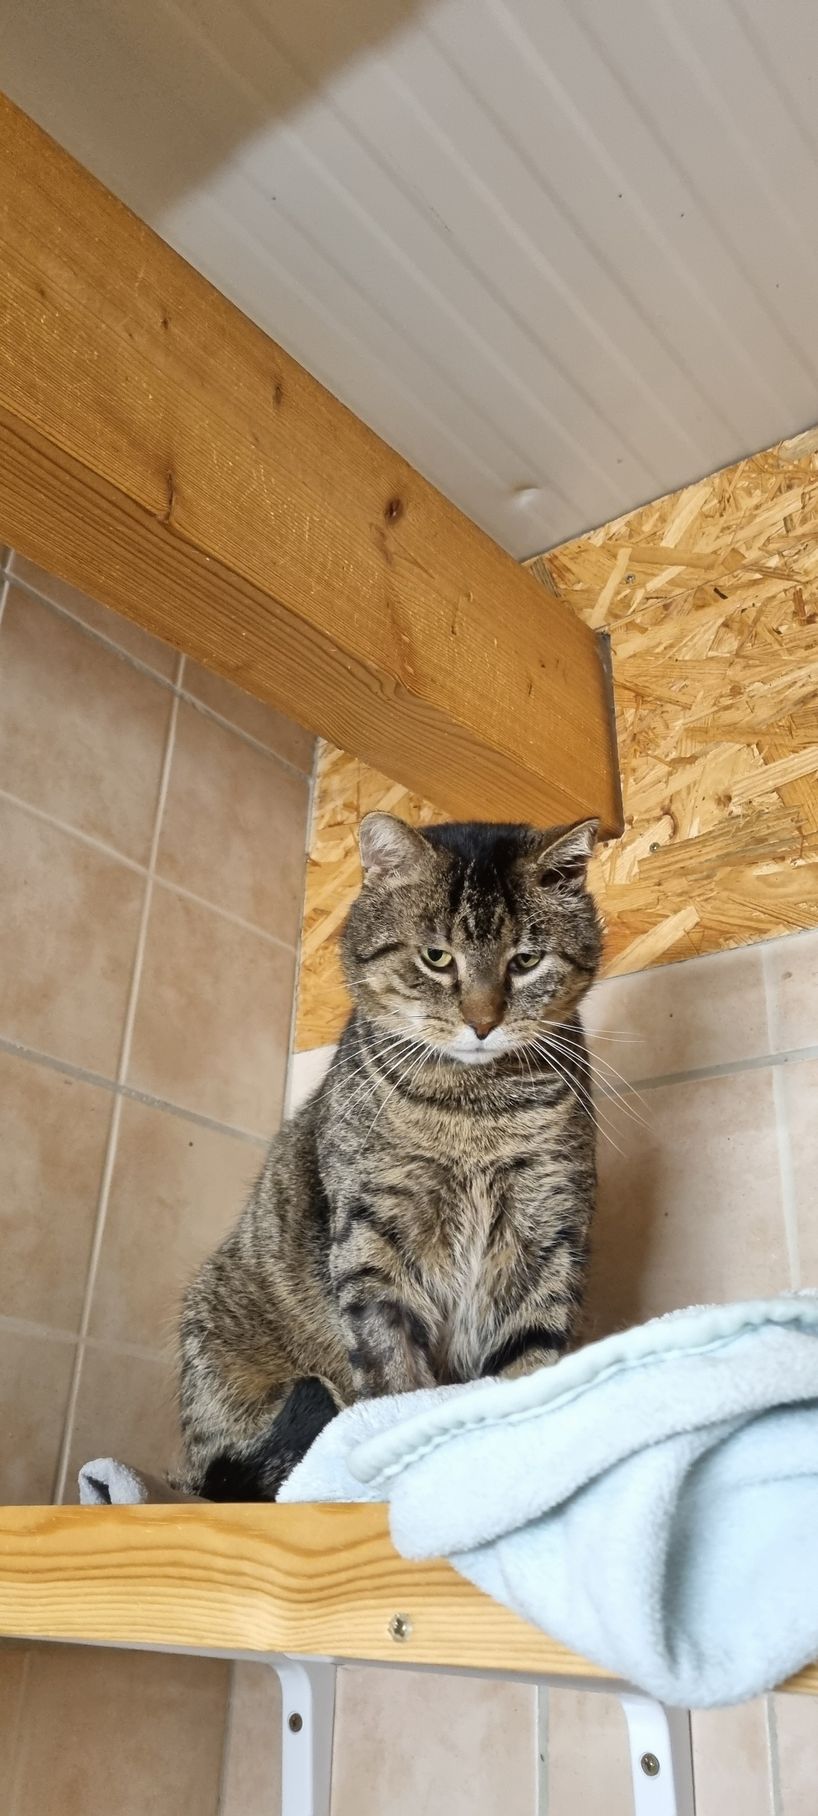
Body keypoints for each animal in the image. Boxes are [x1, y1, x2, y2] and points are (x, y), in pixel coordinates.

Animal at [177, 812, 602, 1501]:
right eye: (436, 957)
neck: (475, 1111)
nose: (483, 1022)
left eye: (526, 960)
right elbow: (392, 1377)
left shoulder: (549, 1230)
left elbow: (530, 1363)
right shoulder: (372, 1239)